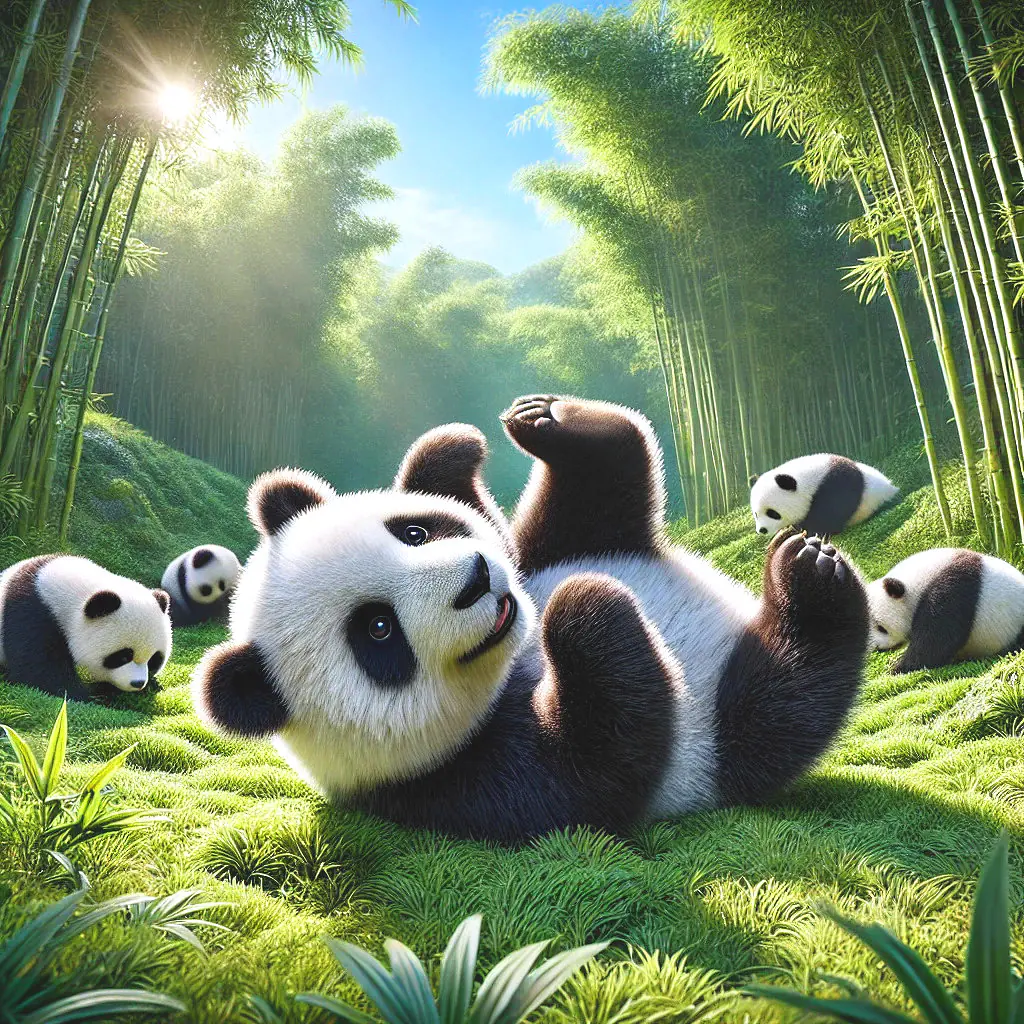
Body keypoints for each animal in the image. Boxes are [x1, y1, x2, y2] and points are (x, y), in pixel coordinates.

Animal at [0, 555, 172, 700]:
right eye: (123, 656)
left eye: (153, 659)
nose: (138, 683)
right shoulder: (32, 613)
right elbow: (40, 670)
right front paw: (90, 695)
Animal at [192, 395, 869, 843]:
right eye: (378, 630)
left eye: (413, 532)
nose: (477, 580)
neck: (516, 660)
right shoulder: (460, 785)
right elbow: (602, 769)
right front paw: (585, 608)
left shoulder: (519, 558)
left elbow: (491, 512)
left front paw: (452, 453)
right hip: (714, 744)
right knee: (778, 709)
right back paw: (810, 583)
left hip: (572, 543)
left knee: (595, 498)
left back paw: (555, 424)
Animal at [750, 454, 898, 538]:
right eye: (756, 514)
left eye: (772, 513)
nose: (762, 530)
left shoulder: (835, 486)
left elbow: (831, 512)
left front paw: (814, 531)